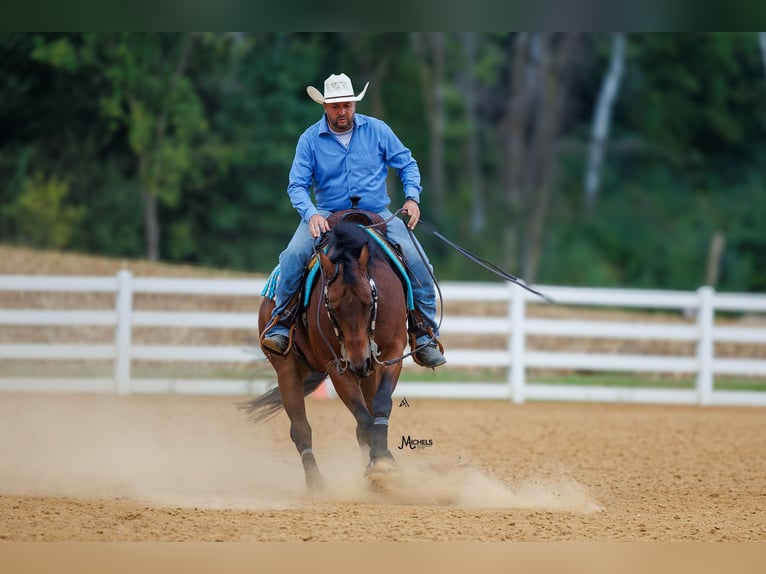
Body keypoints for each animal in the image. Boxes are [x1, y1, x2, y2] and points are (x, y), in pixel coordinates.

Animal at [243, 215, 409, 490]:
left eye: (369, 301)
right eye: (331, 305)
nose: (358, 360)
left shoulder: (392, 351)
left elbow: (380, 406)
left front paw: (384, 462)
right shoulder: (336, 366)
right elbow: (364, 420)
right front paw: (379, 466)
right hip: (287, 369)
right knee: (300, 429)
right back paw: (316, 482)